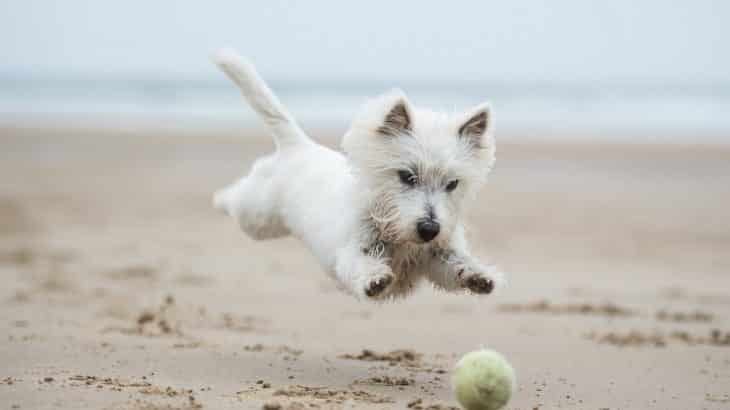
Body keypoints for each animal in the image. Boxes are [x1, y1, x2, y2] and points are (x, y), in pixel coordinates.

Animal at [210, 50, 500, 302]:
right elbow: (360, 263)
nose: (429, 229)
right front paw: (375, 279)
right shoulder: (352, 250)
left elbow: (454, 264)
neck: (397, 234)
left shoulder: (435, 257)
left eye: (452, 184)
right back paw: (219, 199)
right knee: (238, 198)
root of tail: (300, 145)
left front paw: (479, 275)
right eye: (407, 176)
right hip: (258, 215)